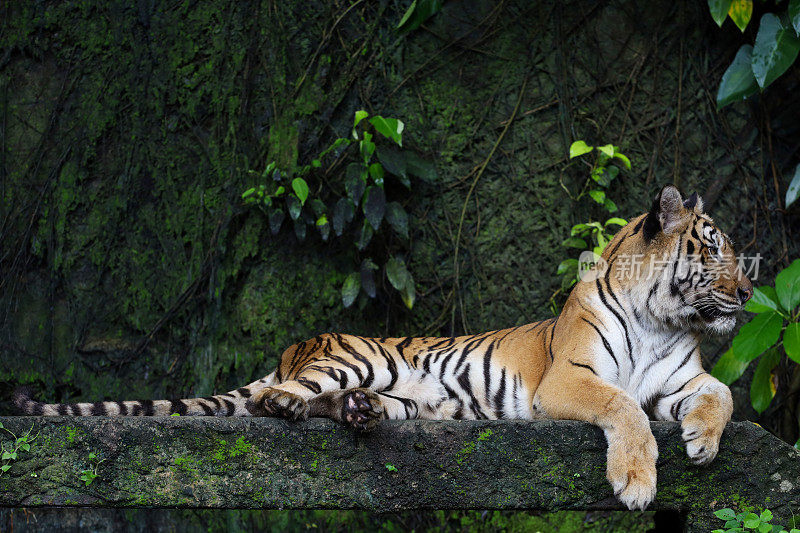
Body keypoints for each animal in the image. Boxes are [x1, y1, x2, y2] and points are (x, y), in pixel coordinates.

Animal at [14, 185, 752, 510]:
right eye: (713, 248)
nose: (749, 291)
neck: (662, 319)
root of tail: (296, 348)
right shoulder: (567, 380)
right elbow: (624, 406)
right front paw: (636, 480)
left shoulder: (680, 379)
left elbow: (722, 392)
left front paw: (701, 441)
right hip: (354, 357)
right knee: (276, 398)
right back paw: (290, 402)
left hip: (408, 398)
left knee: (346, 405)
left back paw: (360, 414)